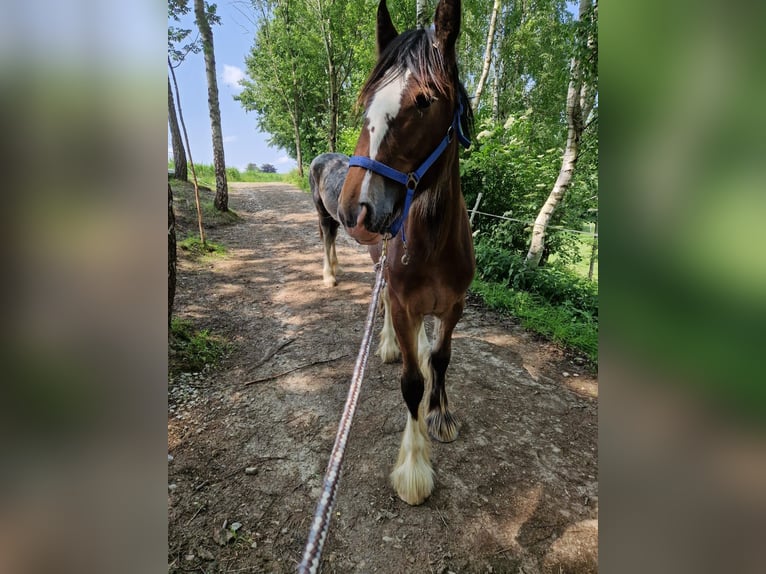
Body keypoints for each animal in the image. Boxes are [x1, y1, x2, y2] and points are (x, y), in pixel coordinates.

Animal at [310, 153, 349, 287]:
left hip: (334, 216)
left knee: (333, 236)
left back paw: (336, 267)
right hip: (322, 211)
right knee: (327, 237)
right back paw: (328, 276)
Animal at [336, 0, 474, 505]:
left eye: (424, 100)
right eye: (366, 103)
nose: (352, 208)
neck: (432, 243)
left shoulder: (454, 306)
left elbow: (441, 359)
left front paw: (441, 414)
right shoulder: (401, 301)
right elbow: (412, 383)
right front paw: (414, 467)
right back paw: (392, 345)